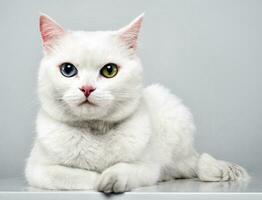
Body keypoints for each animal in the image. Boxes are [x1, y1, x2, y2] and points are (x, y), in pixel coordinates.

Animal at [25, 13, 249, 192]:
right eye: (68, 70)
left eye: (109, 70)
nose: (87, 88)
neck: (95, 131)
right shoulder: (38, 170)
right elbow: (76, 175)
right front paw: (99, 179)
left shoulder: (147, 166)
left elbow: (125, 169)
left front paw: (111, 178)